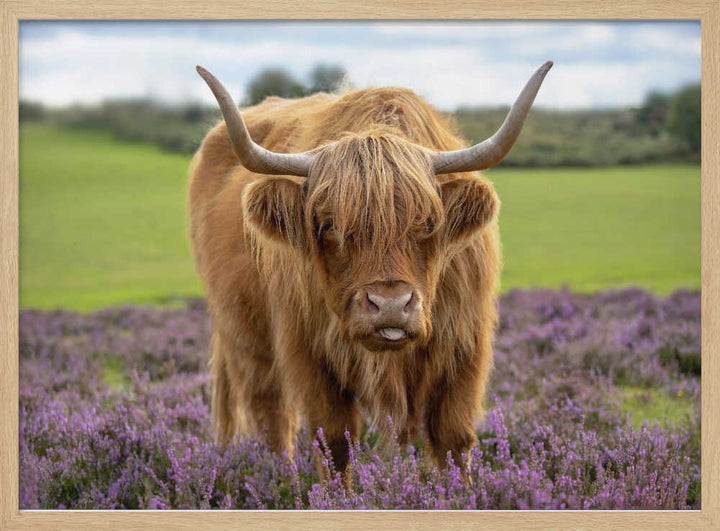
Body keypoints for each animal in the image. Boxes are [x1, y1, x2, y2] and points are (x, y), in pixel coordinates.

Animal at [189, 62, 552, 475]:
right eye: (329, 225)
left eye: (429, 223)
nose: (390, 306)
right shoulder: (310, 352)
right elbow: (333, 442)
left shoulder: (464, 345)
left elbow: (453, 439)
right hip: (246, 341)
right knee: (271, 419)